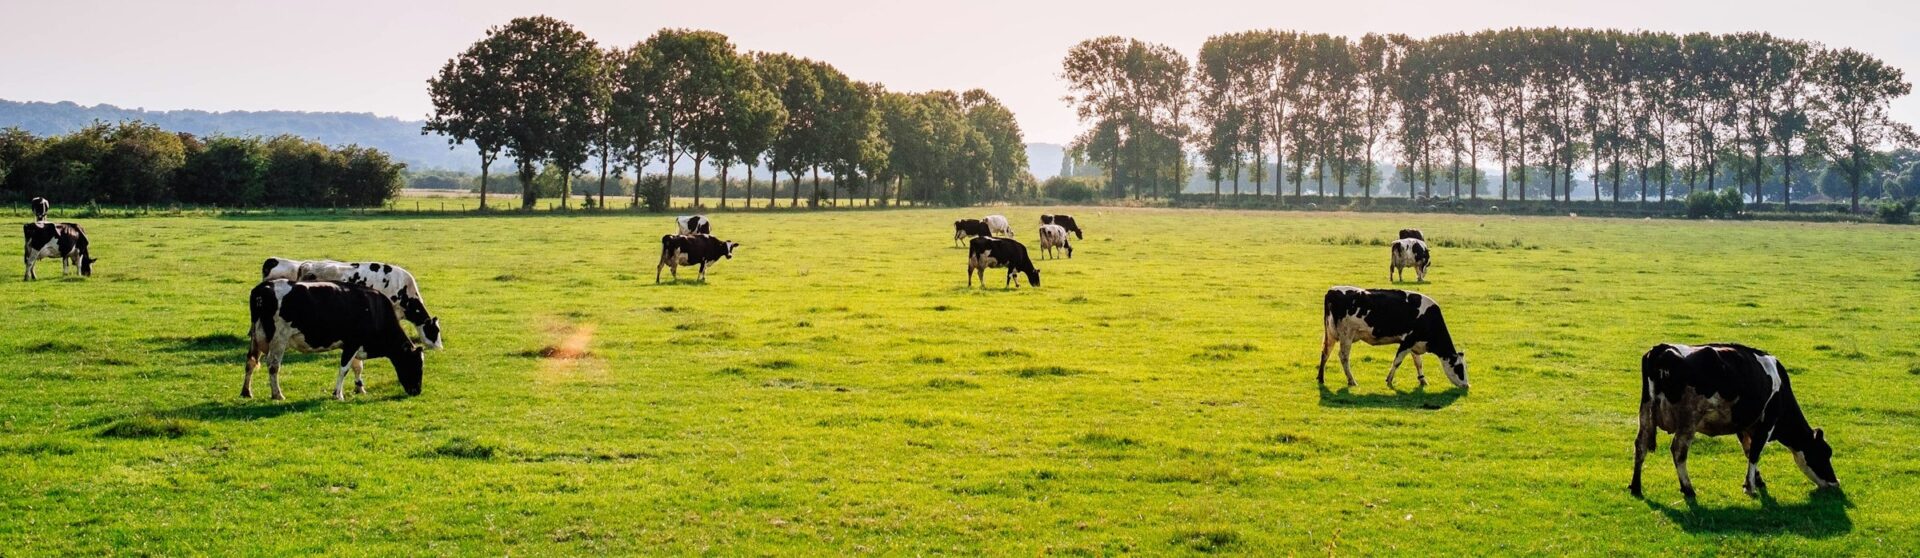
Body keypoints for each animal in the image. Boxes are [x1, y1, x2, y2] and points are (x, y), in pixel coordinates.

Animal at [245, 280, 425, 401]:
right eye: (416, 364)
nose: (417, 391)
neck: (374, 310)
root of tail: (263, 287)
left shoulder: (353, 345)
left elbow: (357, 367)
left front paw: (360, 389)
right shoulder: (353, 342)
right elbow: (344, 369)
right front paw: (338, 394)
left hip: (256, 337)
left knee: (250, 362)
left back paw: (246, 392)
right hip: (278, 338)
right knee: (273, 366)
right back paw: (277, 394)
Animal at [1318, 286, 1467, 389]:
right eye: (1459, 368)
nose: (1467, 385)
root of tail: (1332, 291)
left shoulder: (1415, 343)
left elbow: (1418, 362)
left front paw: (1423, 380)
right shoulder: (1407, 341)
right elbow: (1397, 361)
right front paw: (1389, 380)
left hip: (1331, 334)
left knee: (1325, 353)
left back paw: (1320, 378)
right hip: (1346, 335)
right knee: (1343, 356)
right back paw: (1351, 380)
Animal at [1632, 343, 1839, 498]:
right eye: (1824, 453)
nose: (1835, 483)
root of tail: (1662, 348)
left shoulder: (1744, 425)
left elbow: (1748, 450)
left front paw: (1756, 480)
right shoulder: (1767, 423)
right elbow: (1755, 452)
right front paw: (1750, 487)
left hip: (1646, 412)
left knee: (1641, 445)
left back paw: (1636, 487)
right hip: (1688, 419)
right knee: (1678, 451)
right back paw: (1688, 489)